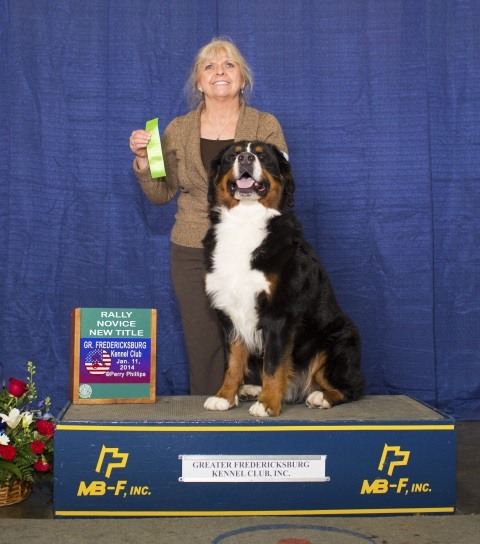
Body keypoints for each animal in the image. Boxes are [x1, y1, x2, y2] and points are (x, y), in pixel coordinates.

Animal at [202, 141, 364, 416]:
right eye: (233, 155)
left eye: (263, 156)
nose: (246, 158)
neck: (245, 221)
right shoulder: (229, 312)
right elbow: (233, 361)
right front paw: (224, 396)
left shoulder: (279, 313)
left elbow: (274, 364)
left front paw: (267, 403)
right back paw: (250, 389)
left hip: (336, 340)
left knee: (350, 388)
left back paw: (320, 397)